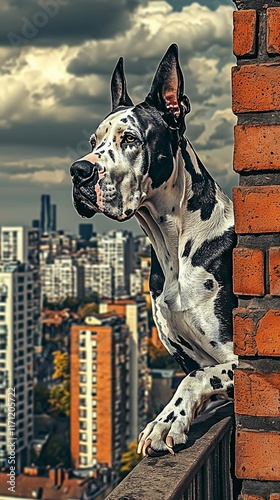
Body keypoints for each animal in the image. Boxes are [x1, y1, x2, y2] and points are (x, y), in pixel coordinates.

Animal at [70, 45, 238, 456]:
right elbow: (197, 373)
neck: (173, 246)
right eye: (93, 143)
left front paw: (166, 422)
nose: (79, 172)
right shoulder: (184, 356)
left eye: (130, 138)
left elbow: (198, 377)